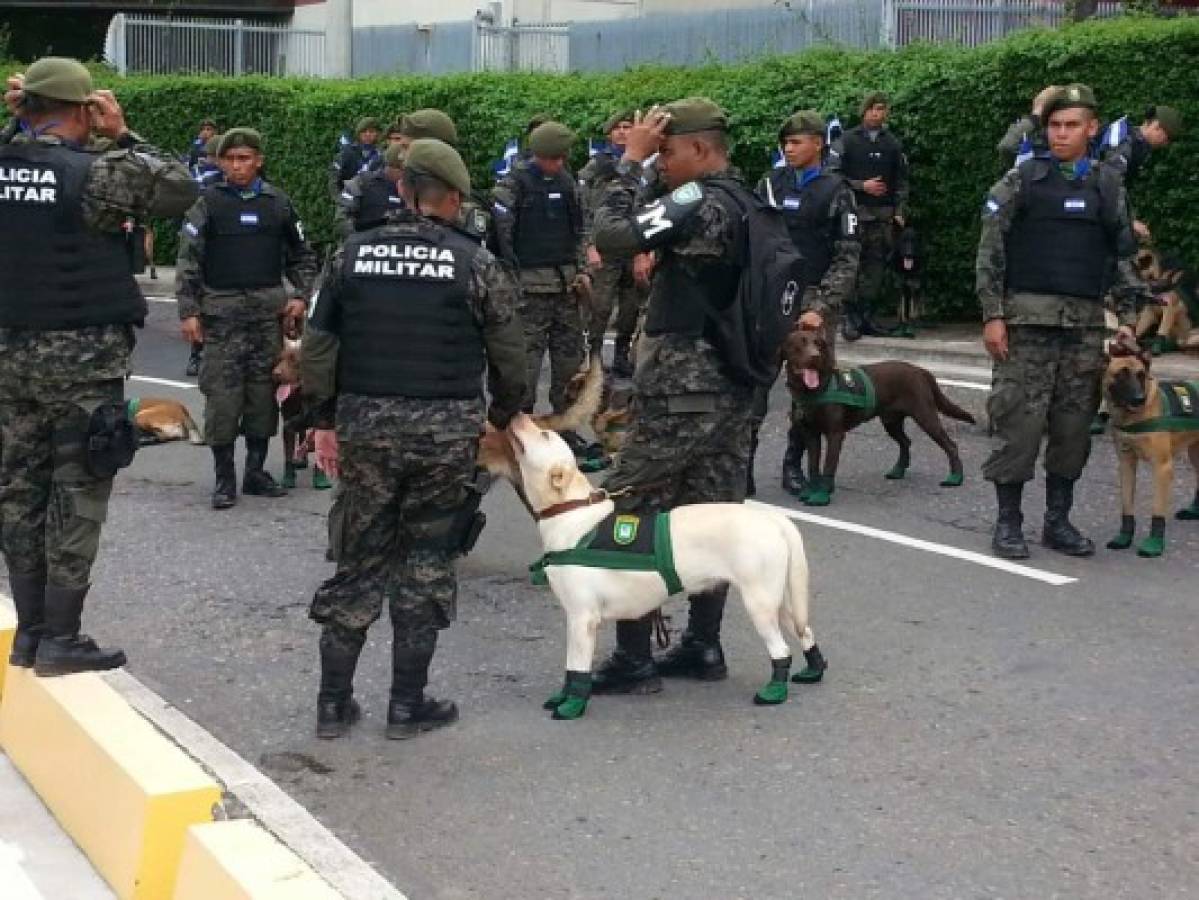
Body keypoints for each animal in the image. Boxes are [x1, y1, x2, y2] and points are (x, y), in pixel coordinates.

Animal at [477, 412, 824, 723]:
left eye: (545, 434)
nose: (516, 414)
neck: (571, 513)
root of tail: (774, 519)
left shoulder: (581, 618)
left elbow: (576, 667)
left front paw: (571, 705)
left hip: (760, 602)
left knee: (781, 651)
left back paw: (774, 692)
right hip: (781, 599)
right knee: (805, 631)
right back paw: (813, 670)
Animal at [1103, 340, 1199, 556]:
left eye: (1140, 375)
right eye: (1121, 374)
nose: (1139, 399)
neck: (1133, 416)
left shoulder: (1162, 467)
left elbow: (1157, 510)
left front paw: (1154, 543)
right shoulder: (1126, 464)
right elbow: (1127, 506)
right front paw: (1124, 537)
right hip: (1195, 453)